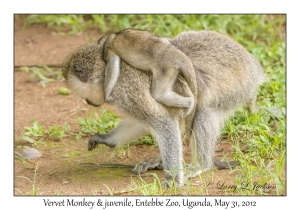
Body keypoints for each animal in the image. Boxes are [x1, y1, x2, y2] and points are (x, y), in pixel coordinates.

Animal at [62, 30, 264, 187]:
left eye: (86, 97)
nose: (89, 102)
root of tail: (253, 65)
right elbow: (143, 122)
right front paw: (106, 139)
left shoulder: (127, 92)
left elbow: (163, 122)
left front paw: (174, 180)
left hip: (237, 86)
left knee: (202, 112)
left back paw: (201, 166)